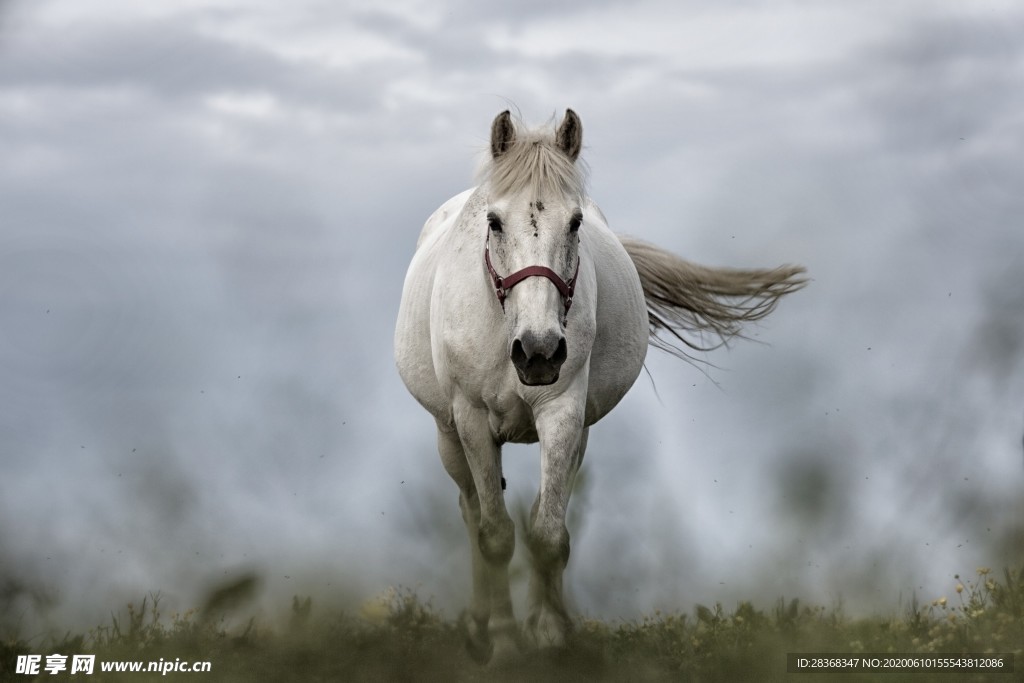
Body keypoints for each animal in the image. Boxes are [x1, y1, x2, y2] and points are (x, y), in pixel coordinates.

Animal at [394, 109, 806, 663]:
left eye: (575, 222)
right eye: (494, 222)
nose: (539, 351)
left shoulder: (563, 413)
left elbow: (548, 534)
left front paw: (549, 635)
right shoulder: (472, 420)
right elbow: (495, 535)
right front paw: (502, 644)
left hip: (577, 435)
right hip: (448, 434)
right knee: (471, 512)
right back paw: (479, 627)